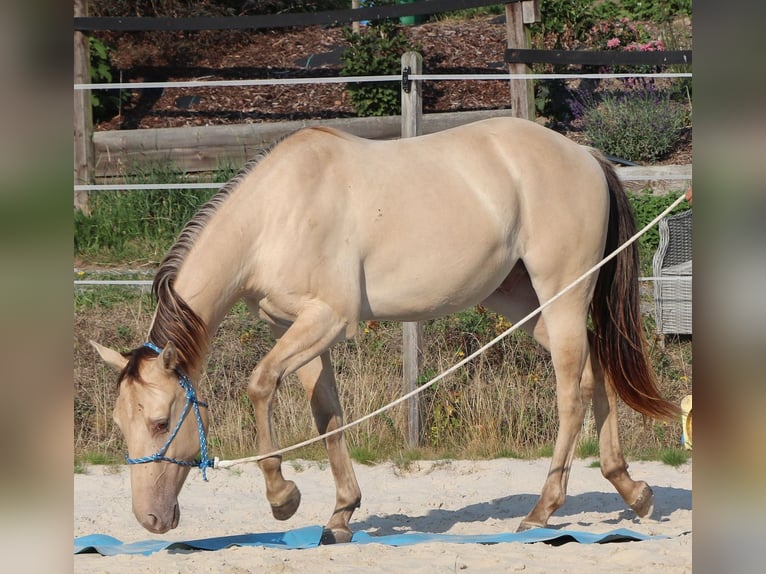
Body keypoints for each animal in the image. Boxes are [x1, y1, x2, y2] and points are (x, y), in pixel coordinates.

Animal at [91, 117, 679, 543]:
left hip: (561, 294)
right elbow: (328, 418)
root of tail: (584, 155)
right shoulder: (300, 330)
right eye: (121, 423)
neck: (275, 215)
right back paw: (632, 490)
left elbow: (259, 385)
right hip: (529, 304)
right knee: (596, 373)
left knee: (571, 394)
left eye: (162, 422)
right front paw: (340, 515)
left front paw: (283, 499)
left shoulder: (328, 320)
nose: (149, 520)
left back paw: (542, 510)